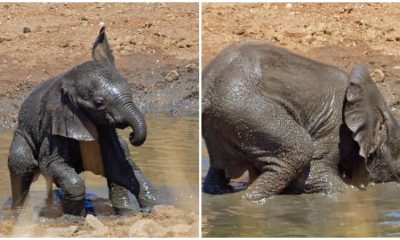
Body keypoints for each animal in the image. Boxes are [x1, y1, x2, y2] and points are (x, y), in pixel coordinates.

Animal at [7, 26, 156, 216]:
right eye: (99, 103)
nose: (131, 135)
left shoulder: (106, 131)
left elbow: (120, 167)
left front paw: (150, 209)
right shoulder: (55, 129)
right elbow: (52, 165)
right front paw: (76, 216)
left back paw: (122, 210)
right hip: (22, 135)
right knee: (21, 165)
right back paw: (17, 212)